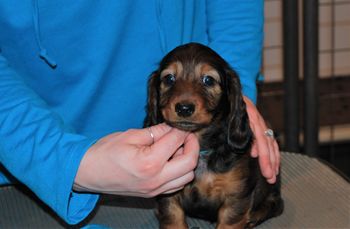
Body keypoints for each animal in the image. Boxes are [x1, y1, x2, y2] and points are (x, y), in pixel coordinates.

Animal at [144, 43, 284, 229]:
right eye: (169, 79)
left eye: (208, 80)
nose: (184, 108)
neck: (201, 151)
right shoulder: (168, 194)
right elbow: (172, 219)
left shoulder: (235, 198)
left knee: (276, 204)